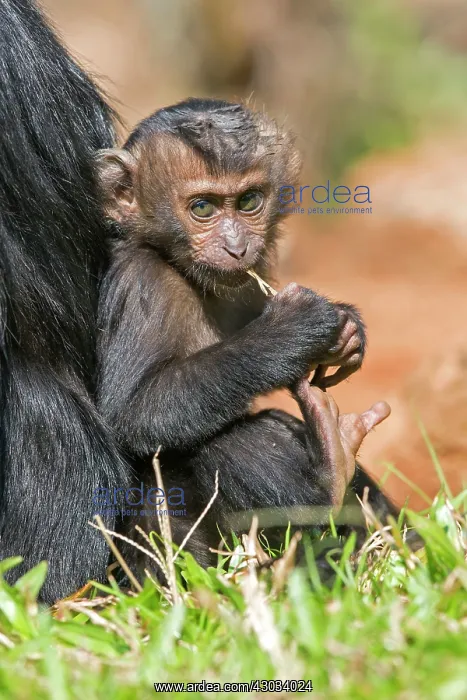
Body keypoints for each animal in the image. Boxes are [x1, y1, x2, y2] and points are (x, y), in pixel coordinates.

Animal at [95, 97, 394, 568]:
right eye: (203, 209)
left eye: (249, 201)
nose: (237, 248)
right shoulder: (145, 282)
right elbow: (136, 412)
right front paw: (291, 331)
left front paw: (347, 329)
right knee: (225, 441)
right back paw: (331, 474)